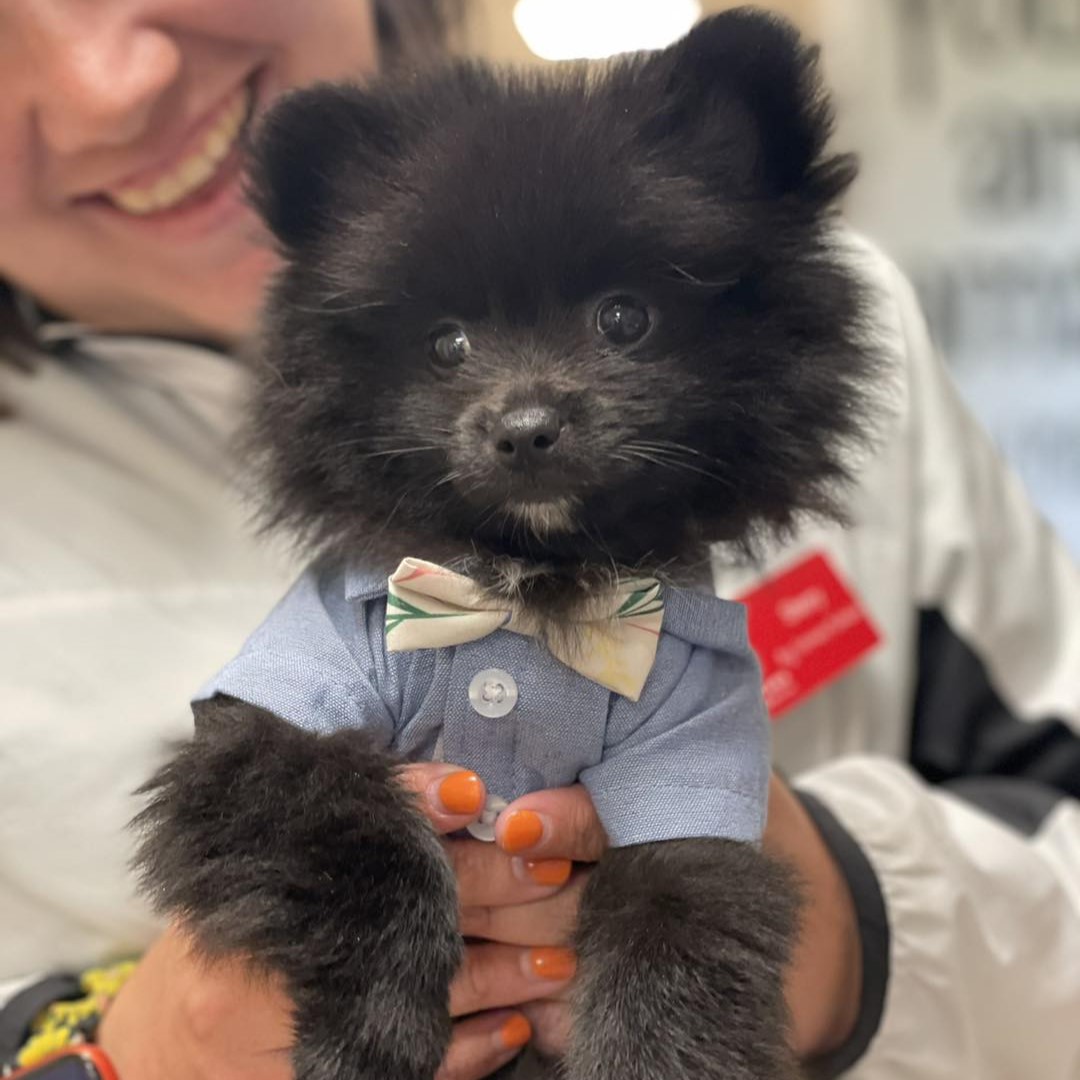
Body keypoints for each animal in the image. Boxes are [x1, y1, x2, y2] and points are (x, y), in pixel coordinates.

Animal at [135, 8, 881, 1080]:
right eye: (446, 343)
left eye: (625, 317)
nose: (526, 426)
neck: (529, 588)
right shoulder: (267, 730)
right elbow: (358, 828)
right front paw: (376, 1027)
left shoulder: (694, 756)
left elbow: (679, 928)